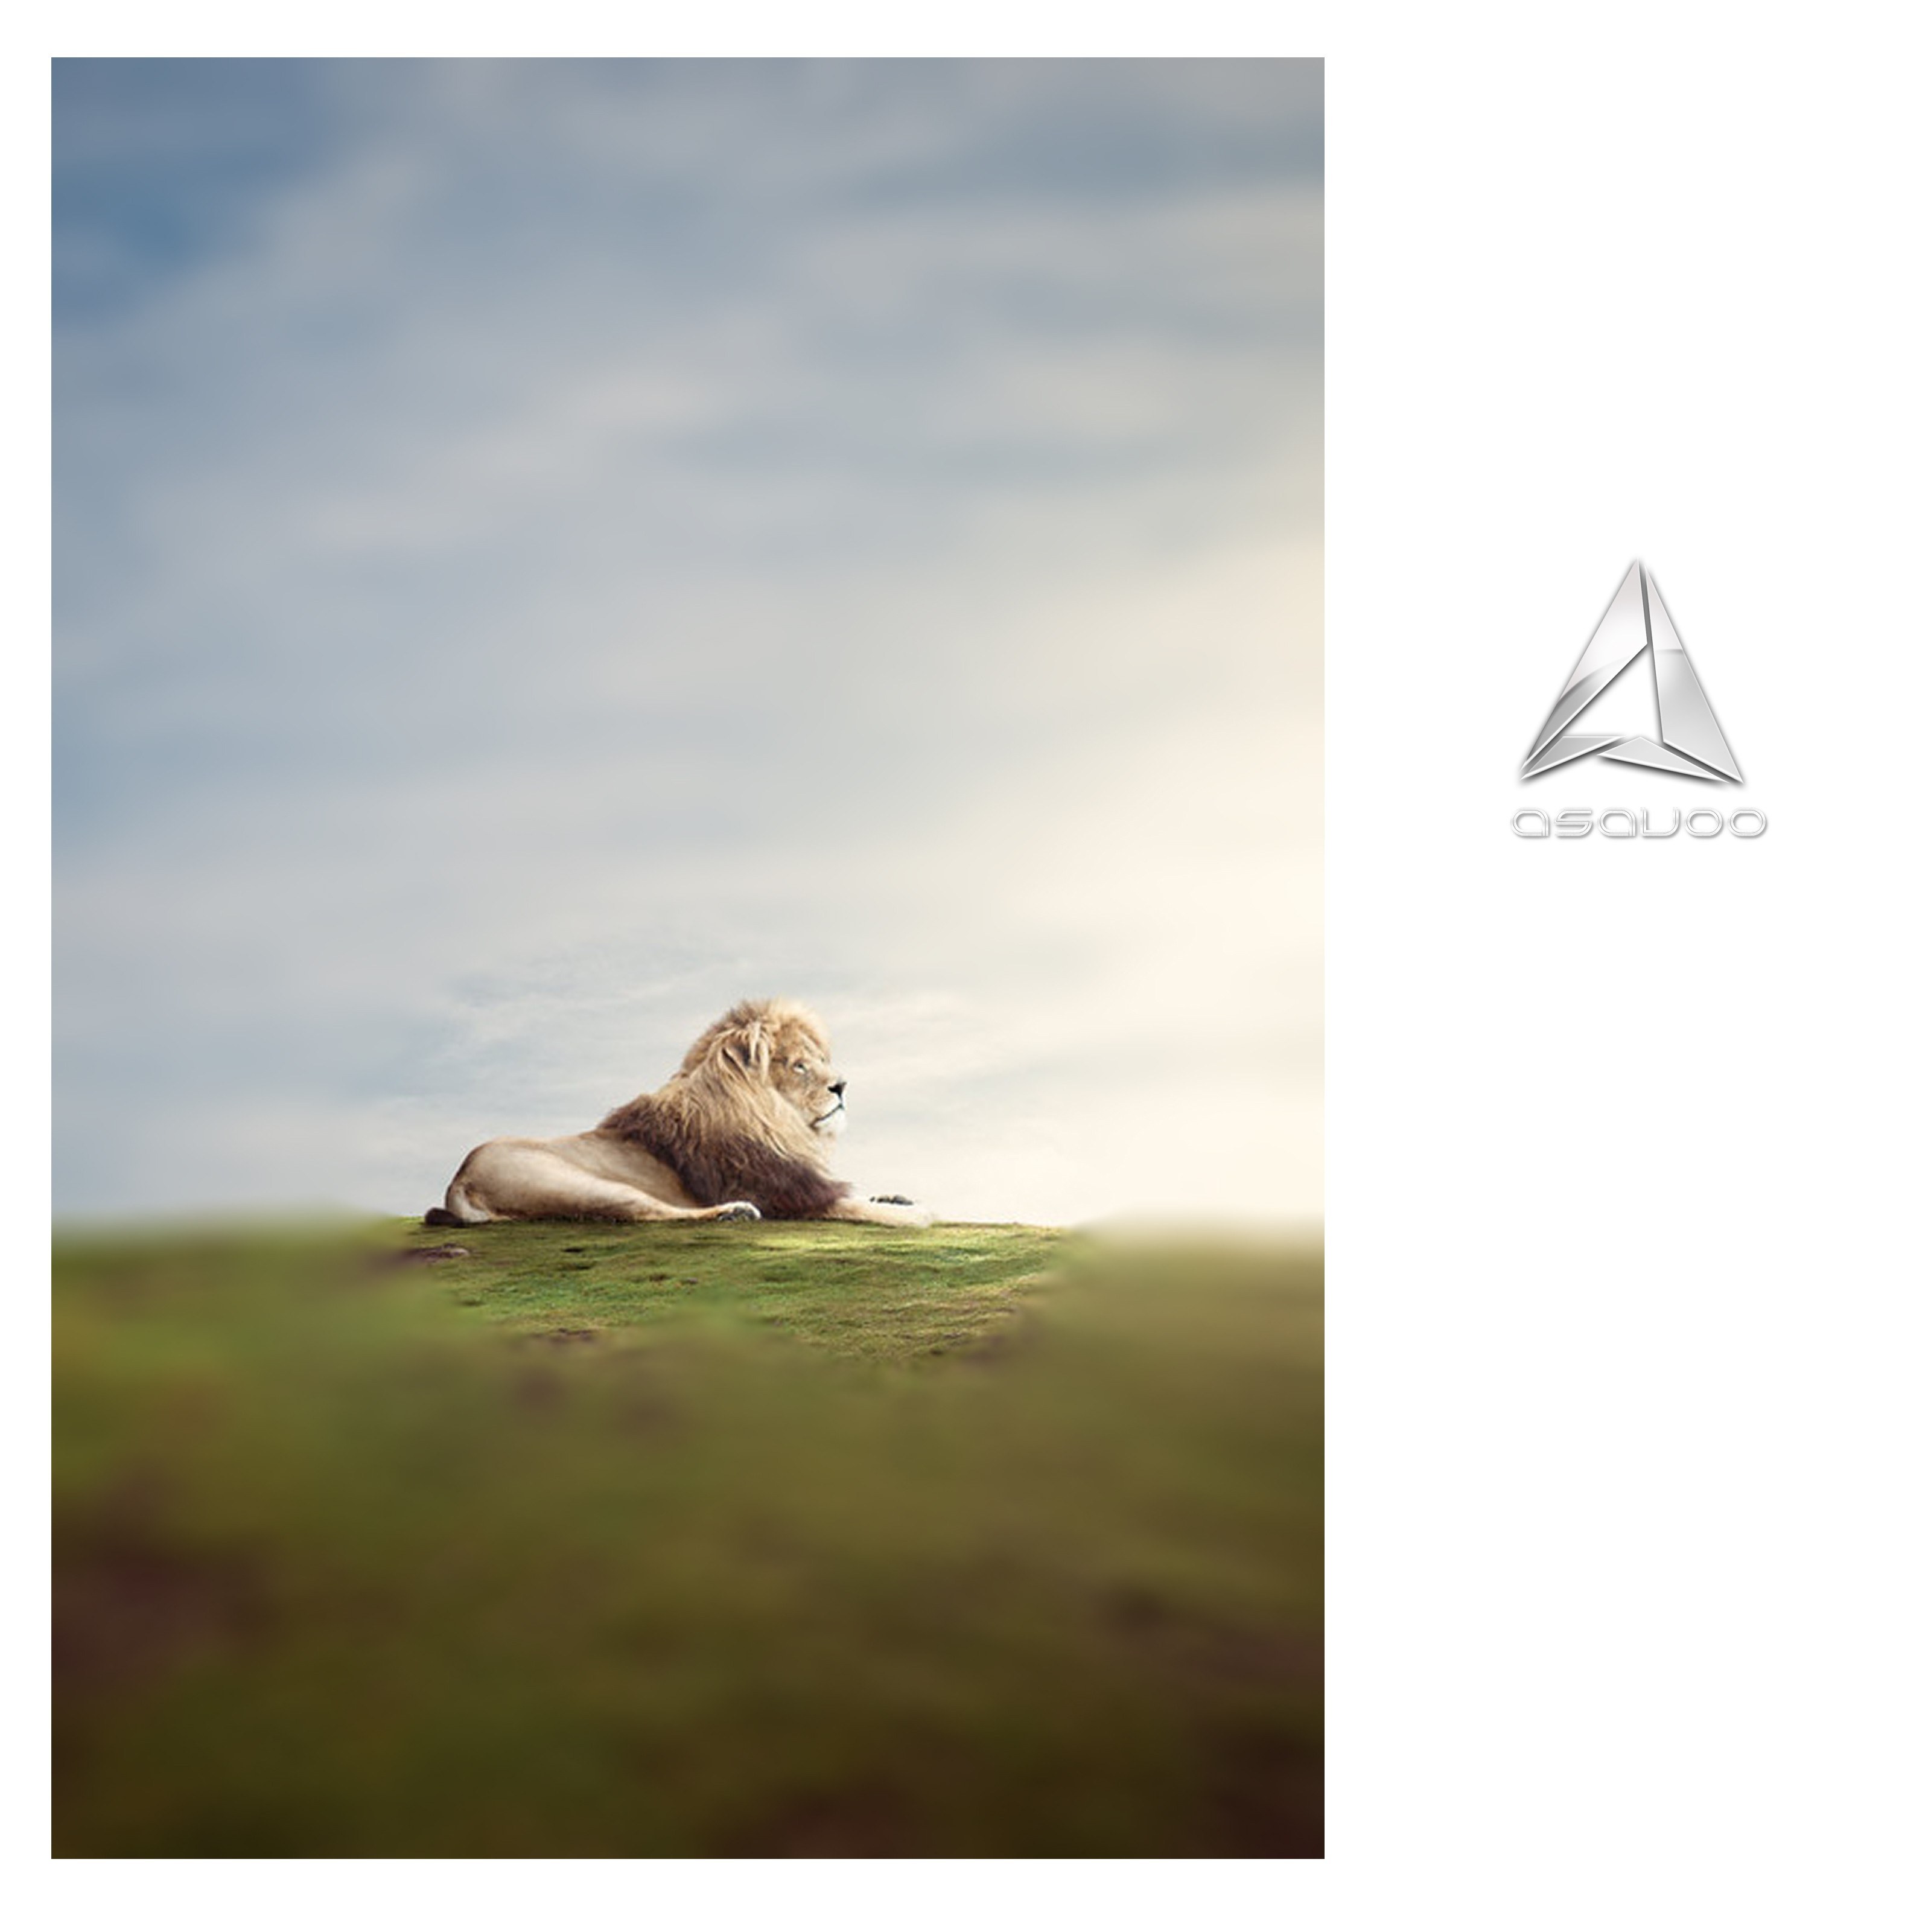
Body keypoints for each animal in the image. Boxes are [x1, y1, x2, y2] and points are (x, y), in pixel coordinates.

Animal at [423, 998, 934, 1229]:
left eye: (820, 1058)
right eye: (798, 1065)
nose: (842, 1086)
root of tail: (458, 1179)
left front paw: (896, 1197)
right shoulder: (787, 1195)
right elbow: (858, 1205)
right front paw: (917, 1212)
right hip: (581, 1184)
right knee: (652, 1213)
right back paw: (733, 1213)